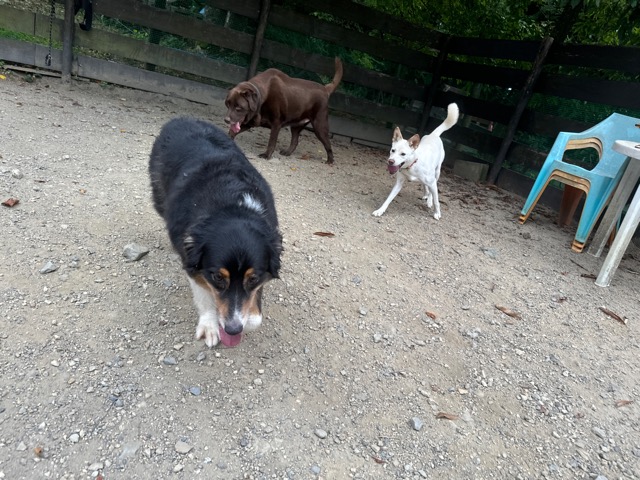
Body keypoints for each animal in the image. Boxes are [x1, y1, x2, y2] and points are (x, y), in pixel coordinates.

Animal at [149, 117, 283, 348]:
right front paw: (210, 325)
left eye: (253, 278)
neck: (232, 207)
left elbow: (254, 313)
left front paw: (249, 317)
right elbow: (204, 294)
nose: (233, 329)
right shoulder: (193, 260)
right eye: (218, 277)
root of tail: (180, 119)